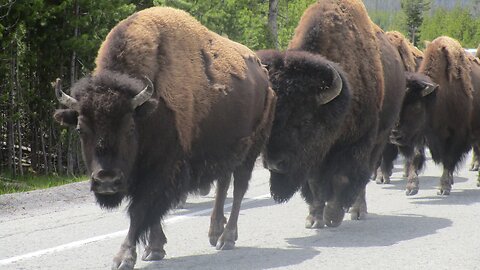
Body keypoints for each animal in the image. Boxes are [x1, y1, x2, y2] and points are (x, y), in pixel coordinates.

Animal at [53, 6, 276, 270]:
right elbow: (150, 213)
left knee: (239, 187)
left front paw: (124, 257)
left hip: (251, 149)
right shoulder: (137, 173)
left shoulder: (161, 169)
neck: (146, 109)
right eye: (80, 129)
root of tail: (263, 74)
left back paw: (227, 238)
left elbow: (141, 210)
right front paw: (154, 249)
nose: (106, 180)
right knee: (223, 184)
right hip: (227, 149)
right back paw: (214, 232)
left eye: (130, 127)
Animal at [256, 0, 384, 228]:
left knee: (363, 178)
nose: (273, 163)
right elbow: (314, 184)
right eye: (271, 118)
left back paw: (358, 211)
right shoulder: (312, 159)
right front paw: (314, 218)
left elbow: (342, 177)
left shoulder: (356, 142)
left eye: (305, 120)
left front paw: (333, 215)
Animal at [390, 35, 480, 195]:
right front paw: (411, 186)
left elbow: (449, 159)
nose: (395, 134)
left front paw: (443, 187)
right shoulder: (421, 134)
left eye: (416, 106)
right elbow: (416, 156)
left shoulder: (456, 135)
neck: (437, 97)